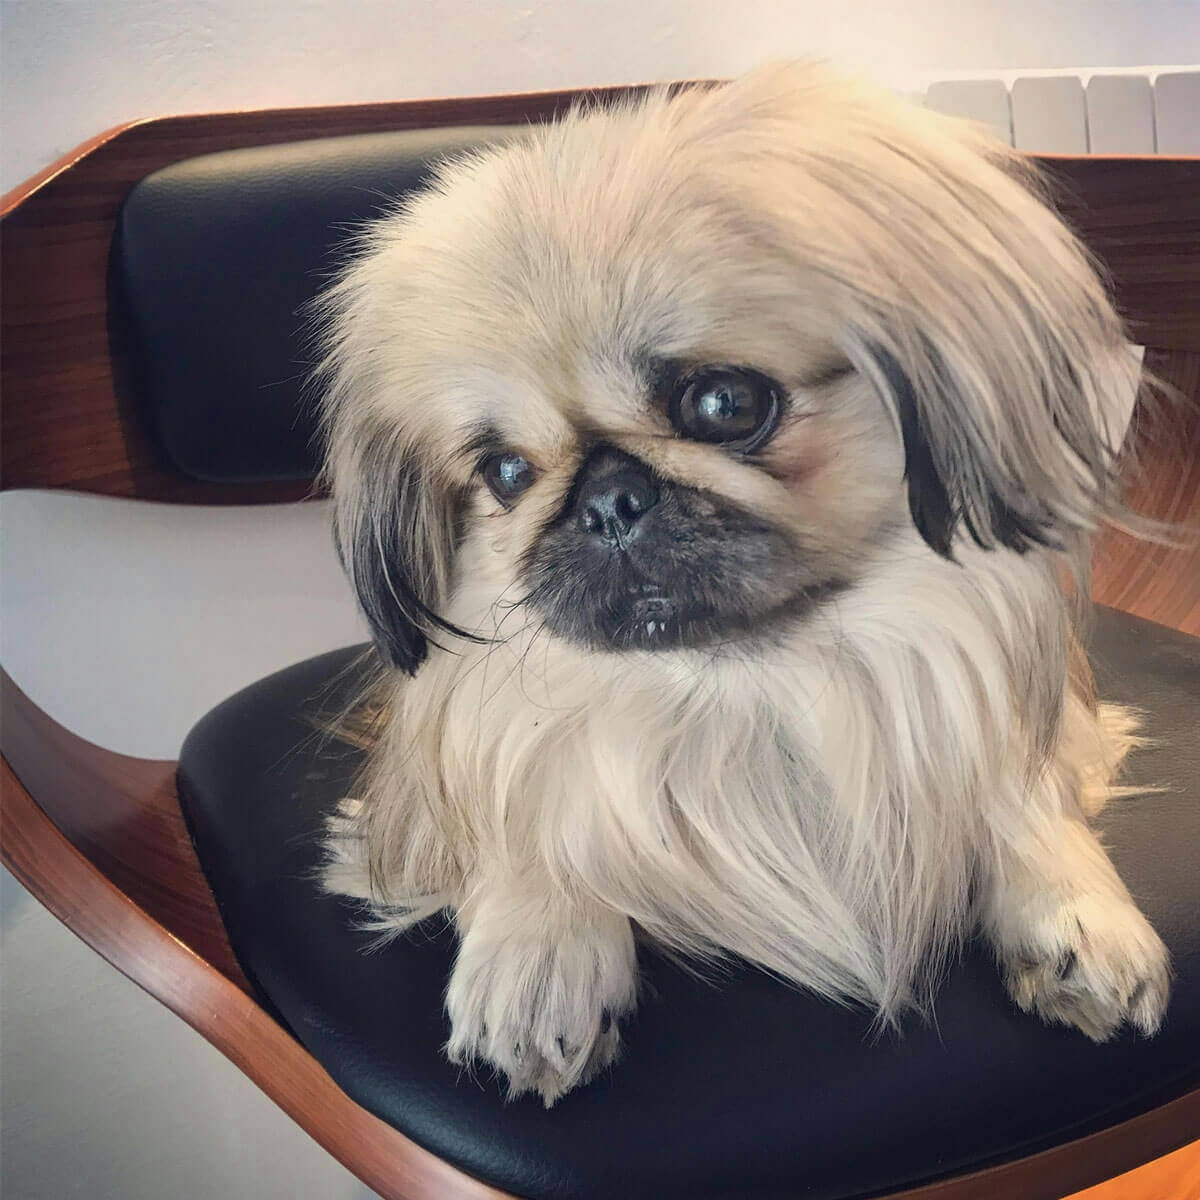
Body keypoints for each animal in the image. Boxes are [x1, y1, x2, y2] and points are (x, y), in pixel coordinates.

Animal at [314, 60, 1166, 1099]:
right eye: (506, 474)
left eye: (724, 403)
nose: (608, 503)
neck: (749, 685)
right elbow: (524, 811)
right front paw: (540, 947)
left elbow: (1021, 784)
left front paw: (1076, 911)